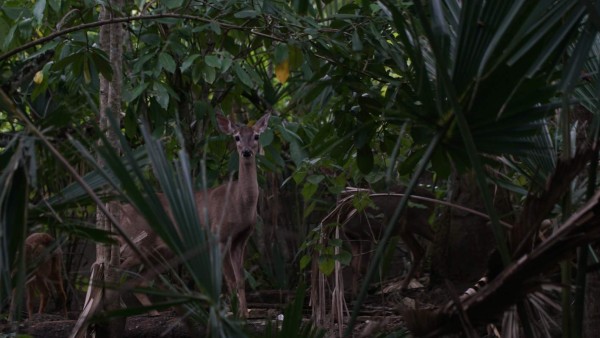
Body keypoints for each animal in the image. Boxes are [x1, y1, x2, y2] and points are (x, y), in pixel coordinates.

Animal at [118, 113, 272, 316]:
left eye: (256, 136)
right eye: (237, 137)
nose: (246, 152)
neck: (240, 203)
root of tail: (122, 210)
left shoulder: (240, 239)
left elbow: (240, 280)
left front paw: (245, 314)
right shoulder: (218, 234)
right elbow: (229, 279)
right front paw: (235, 313)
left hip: (159, 250)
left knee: (140, 279)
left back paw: (155, 312)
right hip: (137, 241)